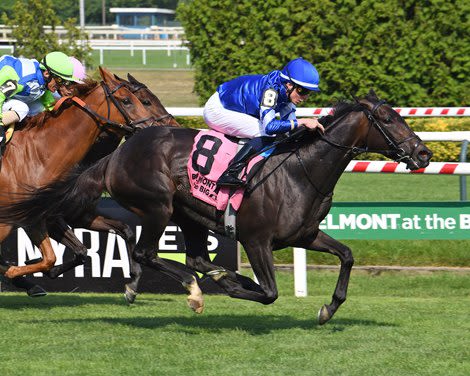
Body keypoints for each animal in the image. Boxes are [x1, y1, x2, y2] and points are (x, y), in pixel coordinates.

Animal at [0, 90, 434, 324]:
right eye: (386, 119)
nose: (424, 153)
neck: (300, 171)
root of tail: (118, 152)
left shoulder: (305, 235)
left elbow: (346, 255)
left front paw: (328, 308)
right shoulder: (256, 240)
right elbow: (269, 292)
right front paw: (234, 286)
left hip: (188, 215)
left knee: (192, 257)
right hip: (158, 206)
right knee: (147, 252)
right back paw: (196, 289)